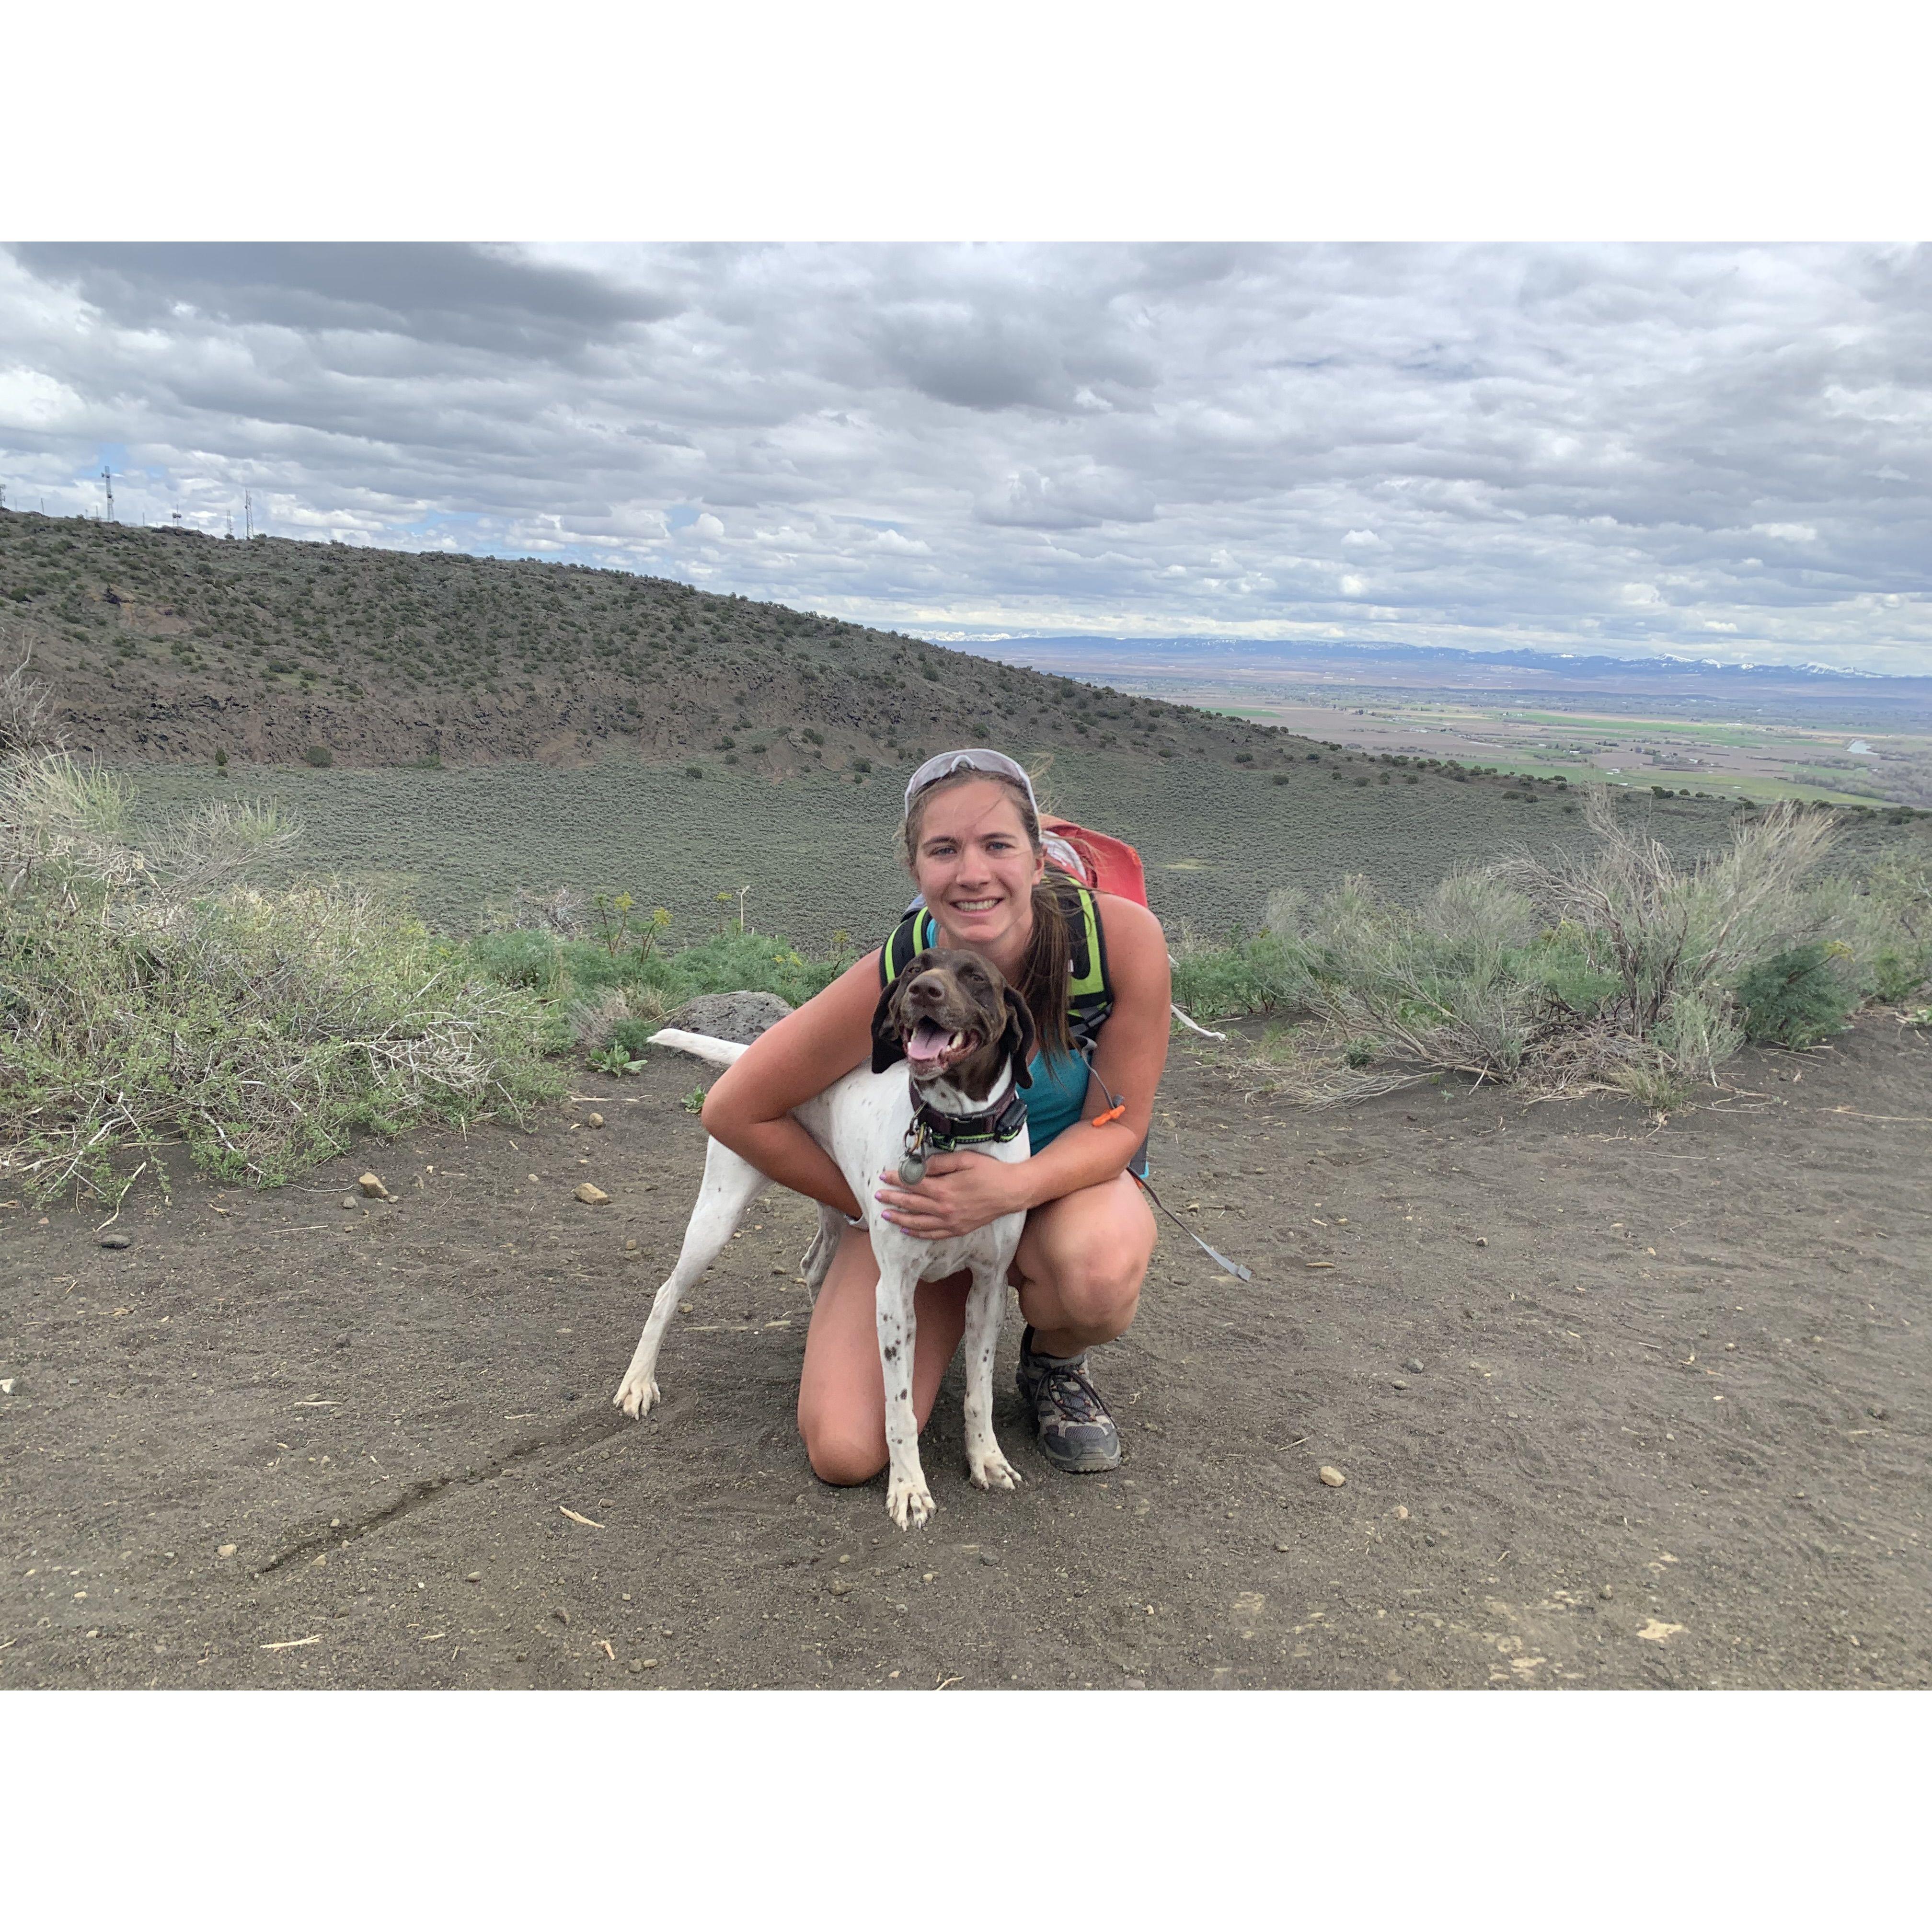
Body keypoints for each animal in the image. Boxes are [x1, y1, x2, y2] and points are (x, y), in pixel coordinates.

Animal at [612, 950, 1037, 1530]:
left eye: (976, 977)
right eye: (914, 969)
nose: (923, 991)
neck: (956, 1134)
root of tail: (750, 1055)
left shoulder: (989, 1288)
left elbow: (980, 1393)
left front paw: (987, 1458)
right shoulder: (894, 1296)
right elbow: (899, 1406)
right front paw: (908, 1487)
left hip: (834, 1212)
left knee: (812, 1265)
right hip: (718, 1213)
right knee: (666, 1292)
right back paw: (638, 1381)